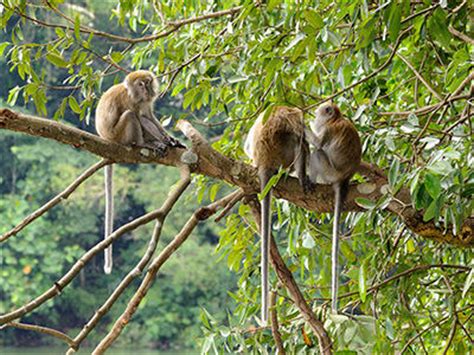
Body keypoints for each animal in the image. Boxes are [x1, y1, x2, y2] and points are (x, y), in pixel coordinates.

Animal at [95, 70, 184, 276]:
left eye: (148, 83)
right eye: (140, 85)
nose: (147, 89)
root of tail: (105, 139)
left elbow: (150, 117)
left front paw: (171, 139)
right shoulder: (131, 101)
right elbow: (140, 117)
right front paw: (157, 142)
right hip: (118, 136)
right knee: (132, 117)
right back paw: (144, 144)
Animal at [306, 103, 362, 314]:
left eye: (321, 112)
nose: (315, 115)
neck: (336, 118)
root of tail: (343, 178)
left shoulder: (328, 130)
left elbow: (317, 143)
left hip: (328, 171)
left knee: (318, 153)